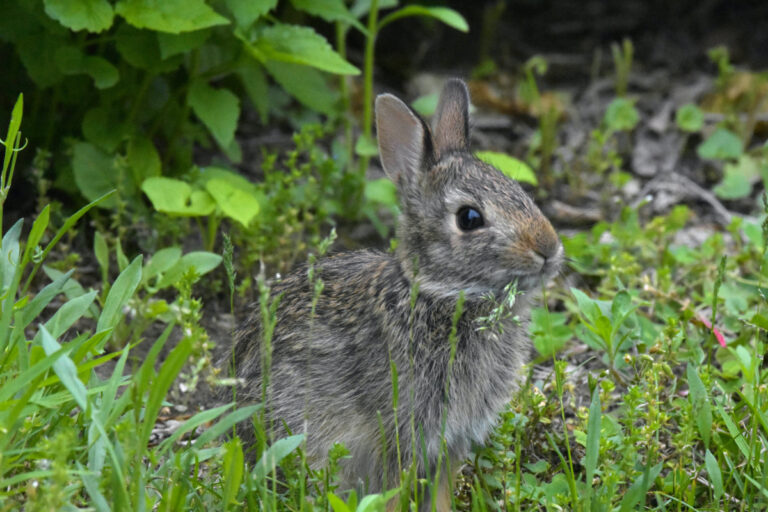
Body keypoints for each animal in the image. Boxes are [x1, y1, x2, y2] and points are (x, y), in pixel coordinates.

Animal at [225, 79, 563, 510]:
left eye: (519, 190)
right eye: (470, 218)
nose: (549, 248)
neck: (442, 294)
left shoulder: (450, 441)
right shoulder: (401, 433)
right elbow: (392, 491)